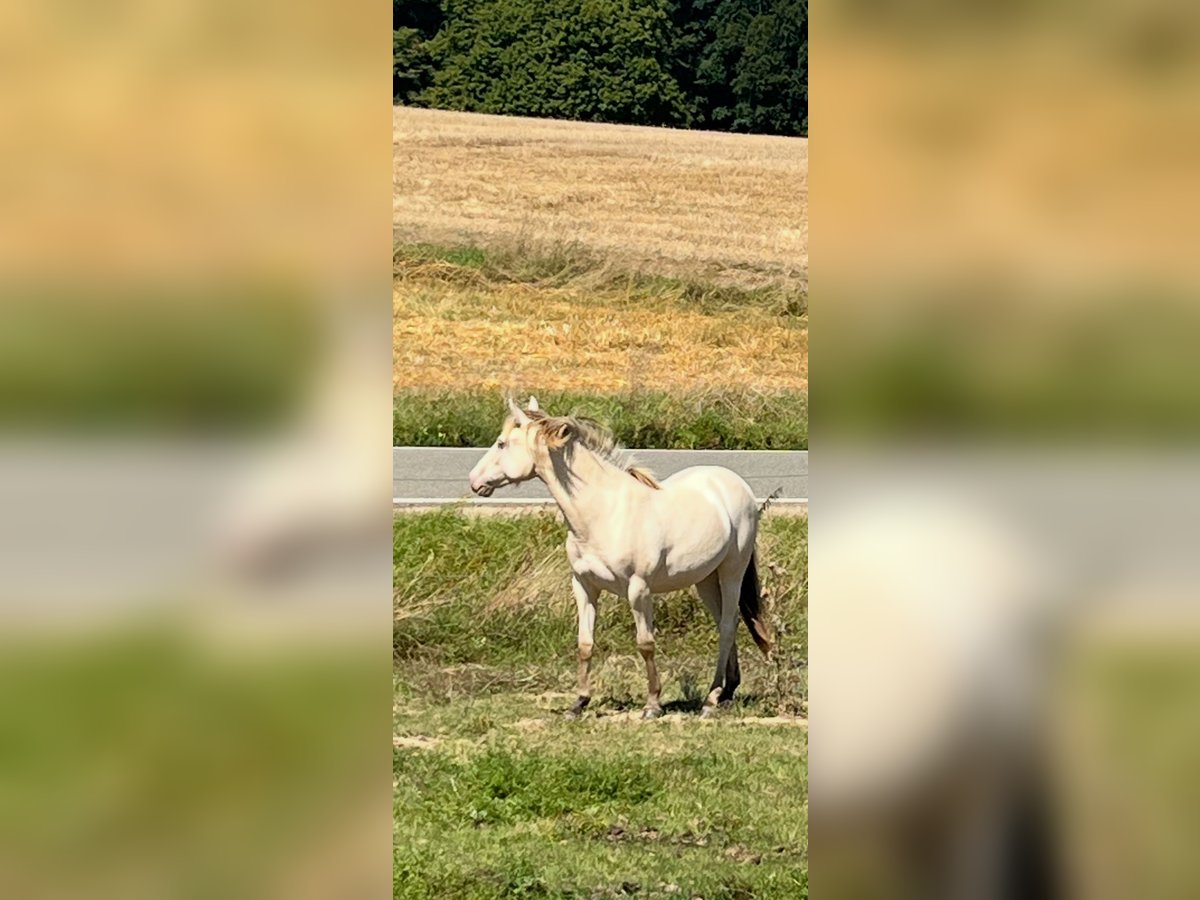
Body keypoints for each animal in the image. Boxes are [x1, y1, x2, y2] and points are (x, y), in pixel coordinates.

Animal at [468, 396, 772, 719]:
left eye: (501, 444)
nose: (474, 481)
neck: (604, 513)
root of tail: (736, 484)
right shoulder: (584, 586)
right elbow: (585, 643)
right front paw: (578, 703)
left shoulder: (639, 589)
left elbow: (646, 644)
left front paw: (652, 705)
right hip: (705, 579)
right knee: (726, 622)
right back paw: (727, 691)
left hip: (732, 571)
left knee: (727, 626)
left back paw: (711, 700)